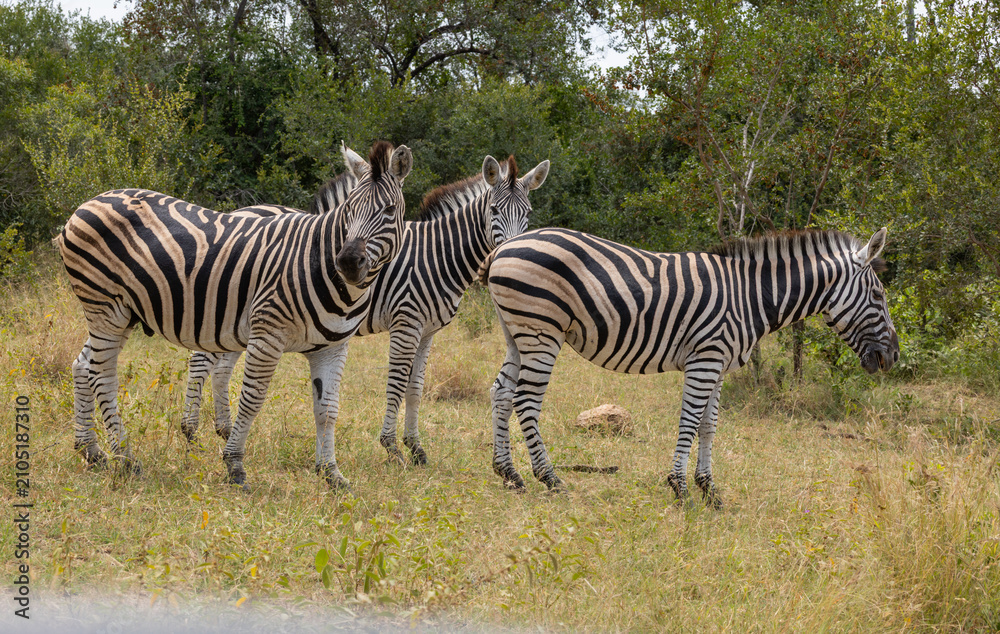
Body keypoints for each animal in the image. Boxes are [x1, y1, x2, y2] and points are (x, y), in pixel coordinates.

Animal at [58, 141, 413, 490]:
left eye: (389, 210)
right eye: (350, 208)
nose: (348, 262)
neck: (318, 261)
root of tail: (90, 202)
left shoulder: (333, 347)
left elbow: (328, 409)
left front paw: (331, 474)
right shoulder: (267, 335)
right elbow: (252, 400)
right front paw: (235, 466)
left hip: (122, 313)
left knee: (83, 365)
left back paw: (92, 452)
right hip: (105, 306)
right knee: (102, 376)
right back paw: (126, 459)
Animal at [181, 154, 550, 468]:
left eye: (528, 212)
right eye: (494, 210)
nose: (509, 255)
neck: (436, 254)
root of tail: (243, 210)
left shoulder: (427, 331)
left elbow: (416, 387)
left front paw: (416, 448)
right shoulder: (406, 322)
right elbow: (397, 383)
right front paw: (393, 448)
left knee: (221, 368)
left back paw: (224, 430)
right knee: (201, 361)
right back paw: (191, 433)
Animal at [484, 227, 899, 506]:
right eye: (879, 295)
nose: (893, 357)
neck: (752, 297)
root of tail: (505, 245)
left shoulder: (719, 364)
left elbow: (709, 425)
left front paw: (709, 489)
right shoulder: (705, 359)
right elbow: (688, 421)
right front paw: (680, 487)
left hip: (516, 332)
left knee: (501, 392)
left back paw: (509, 474)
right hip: (541, 330)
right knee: (526, 402)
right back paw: (550, 479)